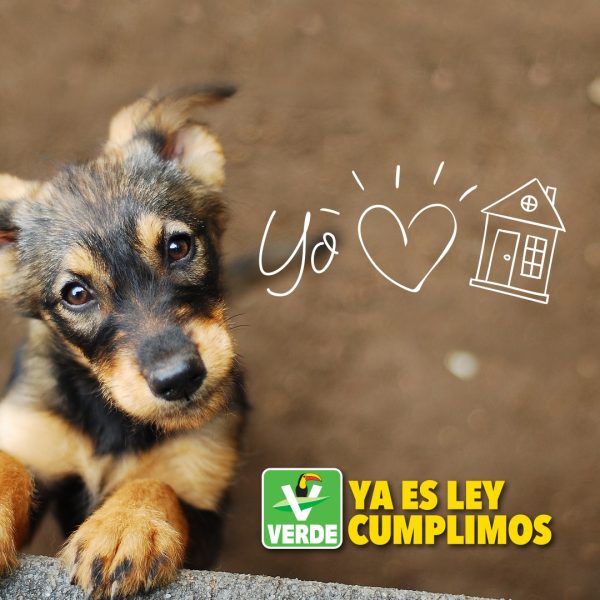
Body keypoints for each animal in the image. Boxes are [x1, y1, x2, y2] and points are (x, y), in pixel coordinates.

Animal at [0, 85, 247, 599]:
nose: (179, 379)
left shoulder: (203, 503)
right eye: (76, 294)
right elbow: (6, 465)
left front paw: (126, 526)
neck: (112, 418)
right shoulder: (33, 435)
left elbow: (158, 484)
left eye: (178, 247)